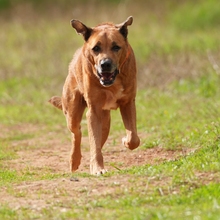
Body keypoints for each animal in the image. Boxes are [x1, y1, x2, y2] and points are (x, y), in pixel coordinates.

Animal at [49, 16, 140, 175]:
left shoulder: (128, 103)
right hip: (73, 112)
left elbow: (133, 138)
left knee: (99, 140)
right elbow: (93, 143)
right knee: (77, 133)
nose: (105, 64)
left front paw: (125, 141)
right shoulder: (93, 111)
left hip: (105, 122)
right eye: (96, 48)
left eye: (116, 47)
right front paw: (98, 168)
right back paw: (75, 160)